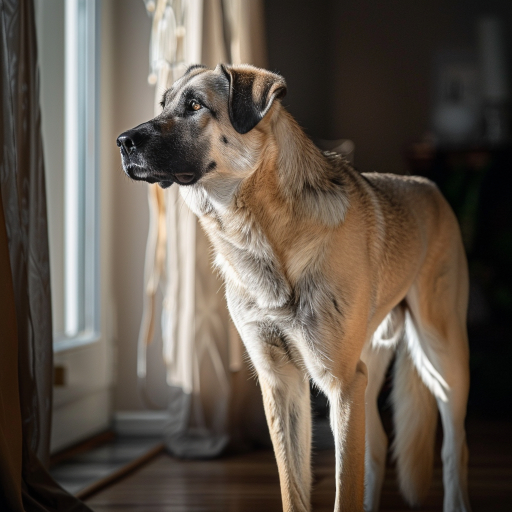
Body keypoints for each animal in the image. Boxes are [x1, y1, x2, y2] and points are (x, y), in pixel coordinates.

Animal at [117, 64, 471, 512]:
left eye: (195, 106)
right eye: (162, 105)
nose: (121, 142)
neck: (258, 235)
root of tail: (429, 185)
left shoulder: (341, 385)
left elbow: (344, 488)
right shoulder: (283, 383)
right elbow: (294, 486)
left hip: (441, 357)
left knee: (453, 447)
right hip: (369, 366)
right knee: (376, 449)